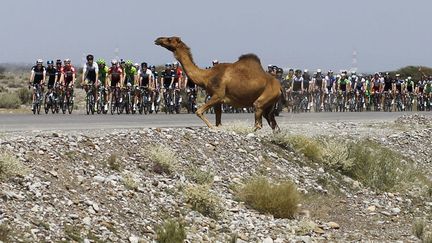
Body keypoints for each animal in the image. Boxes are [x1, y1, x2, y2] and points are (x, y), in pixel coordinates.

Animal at [154, 36, 282, 131]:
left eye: (169, 39)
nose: (158, 39)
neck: (206, 76)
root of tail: (279, 87)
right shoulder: (217, 100)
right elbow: (218, 121)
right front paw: (215, 126)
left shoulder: (218, 95)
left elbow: (198, 112)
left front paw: (211, 127)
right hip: (269, 106)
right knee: (274, 125)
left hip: (265, 98)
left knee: (258, 120)